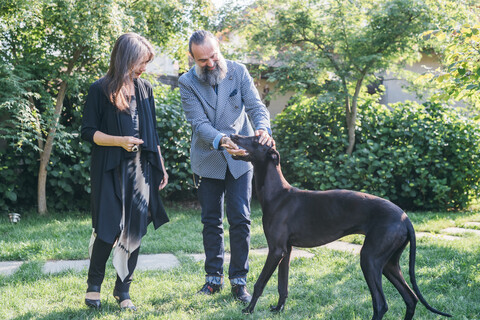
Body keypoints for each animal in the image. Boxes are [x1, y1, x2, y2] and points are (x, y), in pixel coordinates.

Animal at [231, 134, 452, 320]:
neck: (277, 194)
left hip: (370, 259)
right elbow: (282, 286)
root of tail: (405, 218)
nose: (233, 135)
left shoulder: (276, 250)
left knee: (381, 304)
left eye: (254, 139)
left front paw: (248, 309)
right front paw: (278, 309)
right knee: (410, 298)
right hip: (389, 263)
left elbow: (260, 283)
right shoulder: (286, 250)